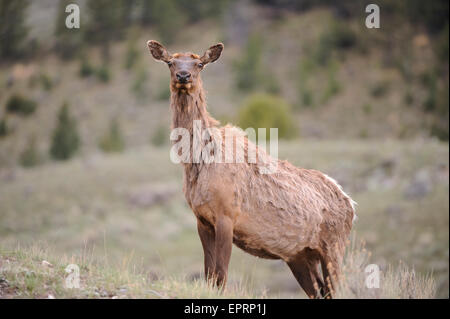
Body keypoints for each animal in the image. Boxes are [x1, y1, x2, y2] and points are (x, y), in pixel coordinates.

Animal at [147, 40, 356, 300]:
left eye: (199, 64)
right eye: (170, 62)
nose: (183, 75)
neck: (198, 163)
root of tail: (350, 205)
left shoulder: (227, 215)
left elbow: (221, 275)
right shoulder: (202, 220)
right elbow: (208, 275)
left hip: (334, 246)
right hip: (300, 255)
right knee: (320, 291)